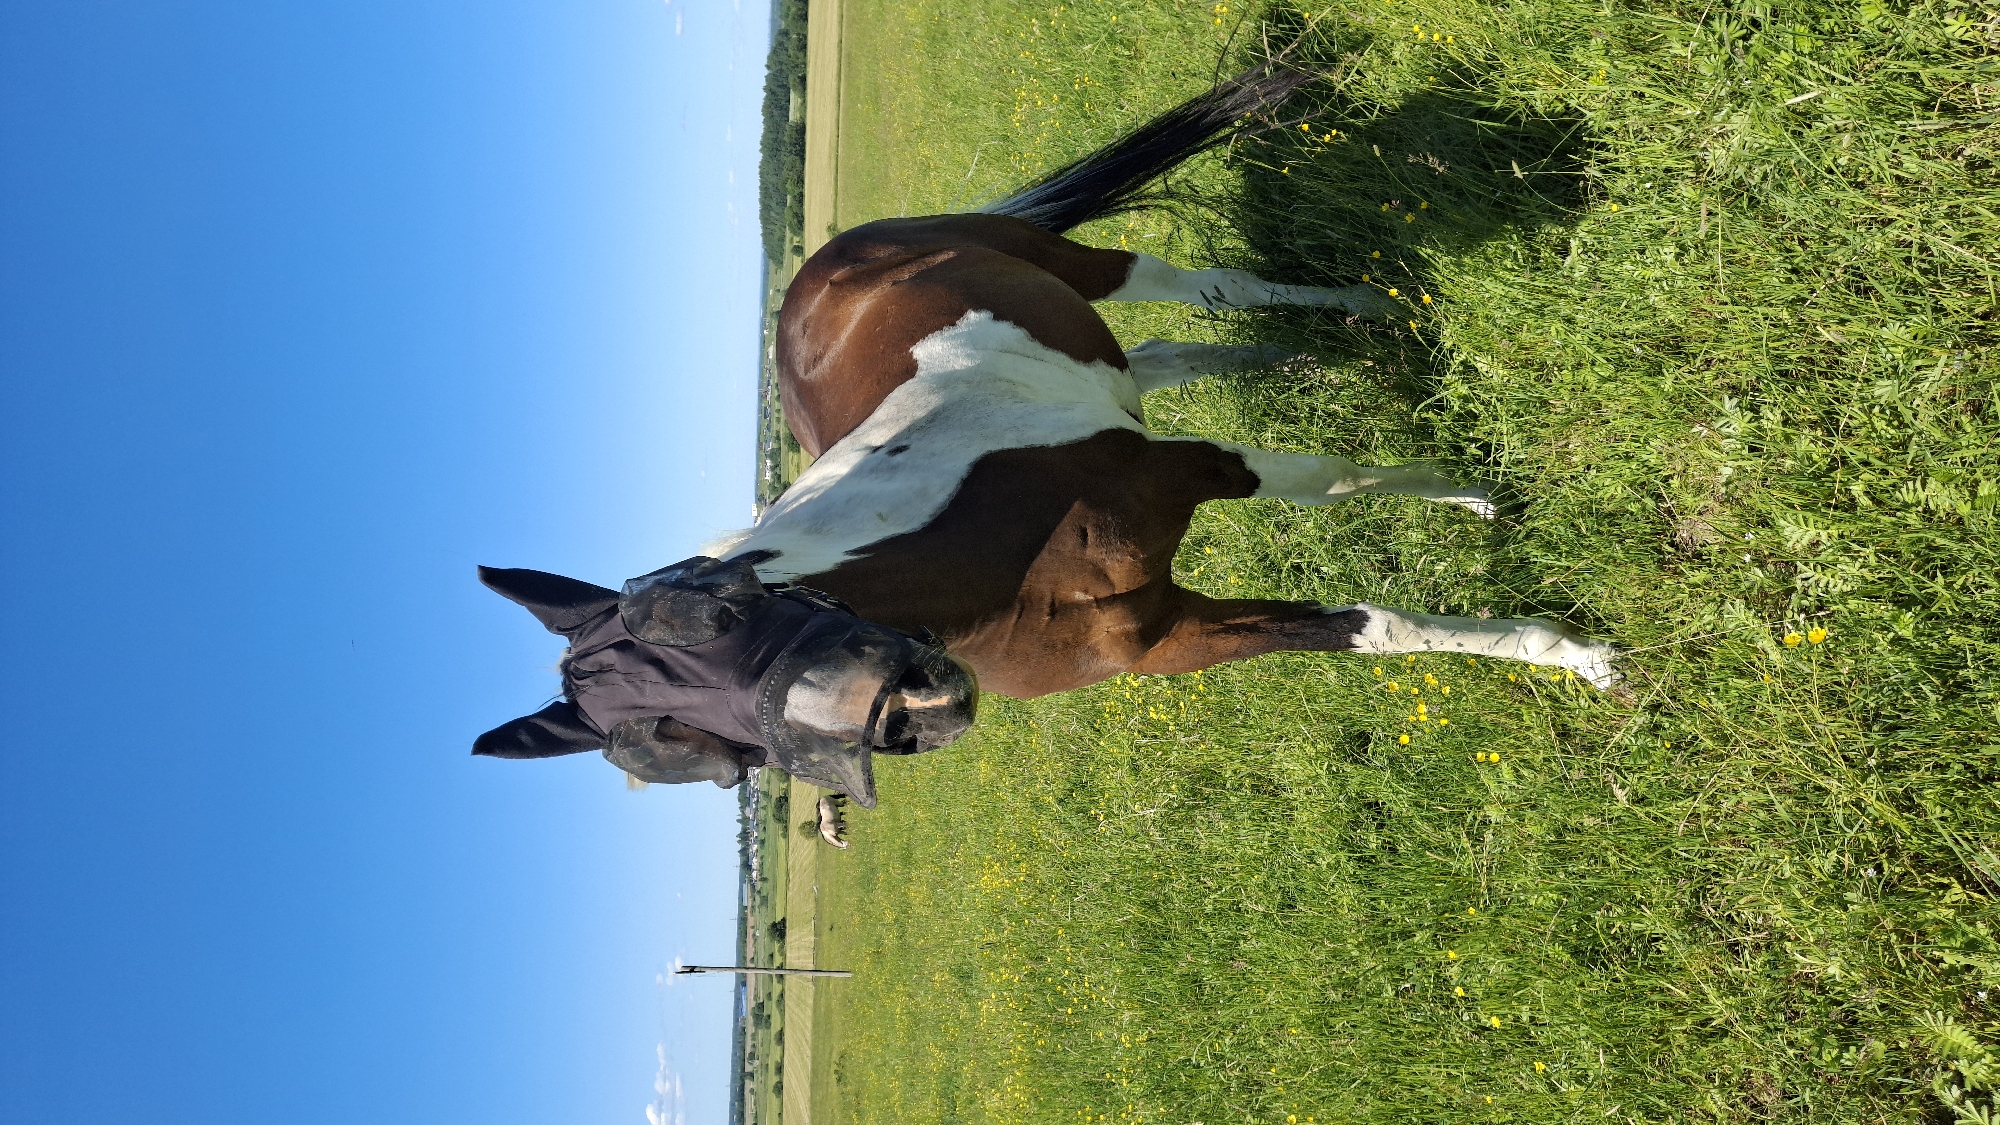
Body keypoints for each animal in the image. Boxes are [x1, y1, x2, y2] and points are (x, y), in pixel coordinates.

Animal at [472, 62, 1616, 804]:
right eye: (705, 763)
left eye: (715, 618)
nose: (907, 716)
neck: (986, 560)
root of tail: (820, 267)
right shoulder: (1168, 639)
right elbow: (1367, 627)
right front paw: (1560, 643)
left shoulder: (1194, 469)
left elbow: (1340, 490)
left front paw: (1528, 576)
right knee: (1157, 354)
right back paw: (1288, 355)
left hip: (1082, 268)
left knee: (1201, 288)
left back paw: (1360, 312)